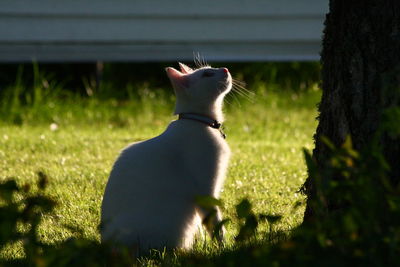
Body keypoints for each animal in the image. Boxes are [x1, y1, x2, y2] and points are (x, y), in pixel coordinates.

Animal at [100, 61, 231, 254]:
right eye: (207, 74)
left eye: (212, 68)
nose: (225, 69)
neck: (198, 121)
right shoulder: (206, 192)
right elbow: (216, 225)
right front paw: (225, 248)